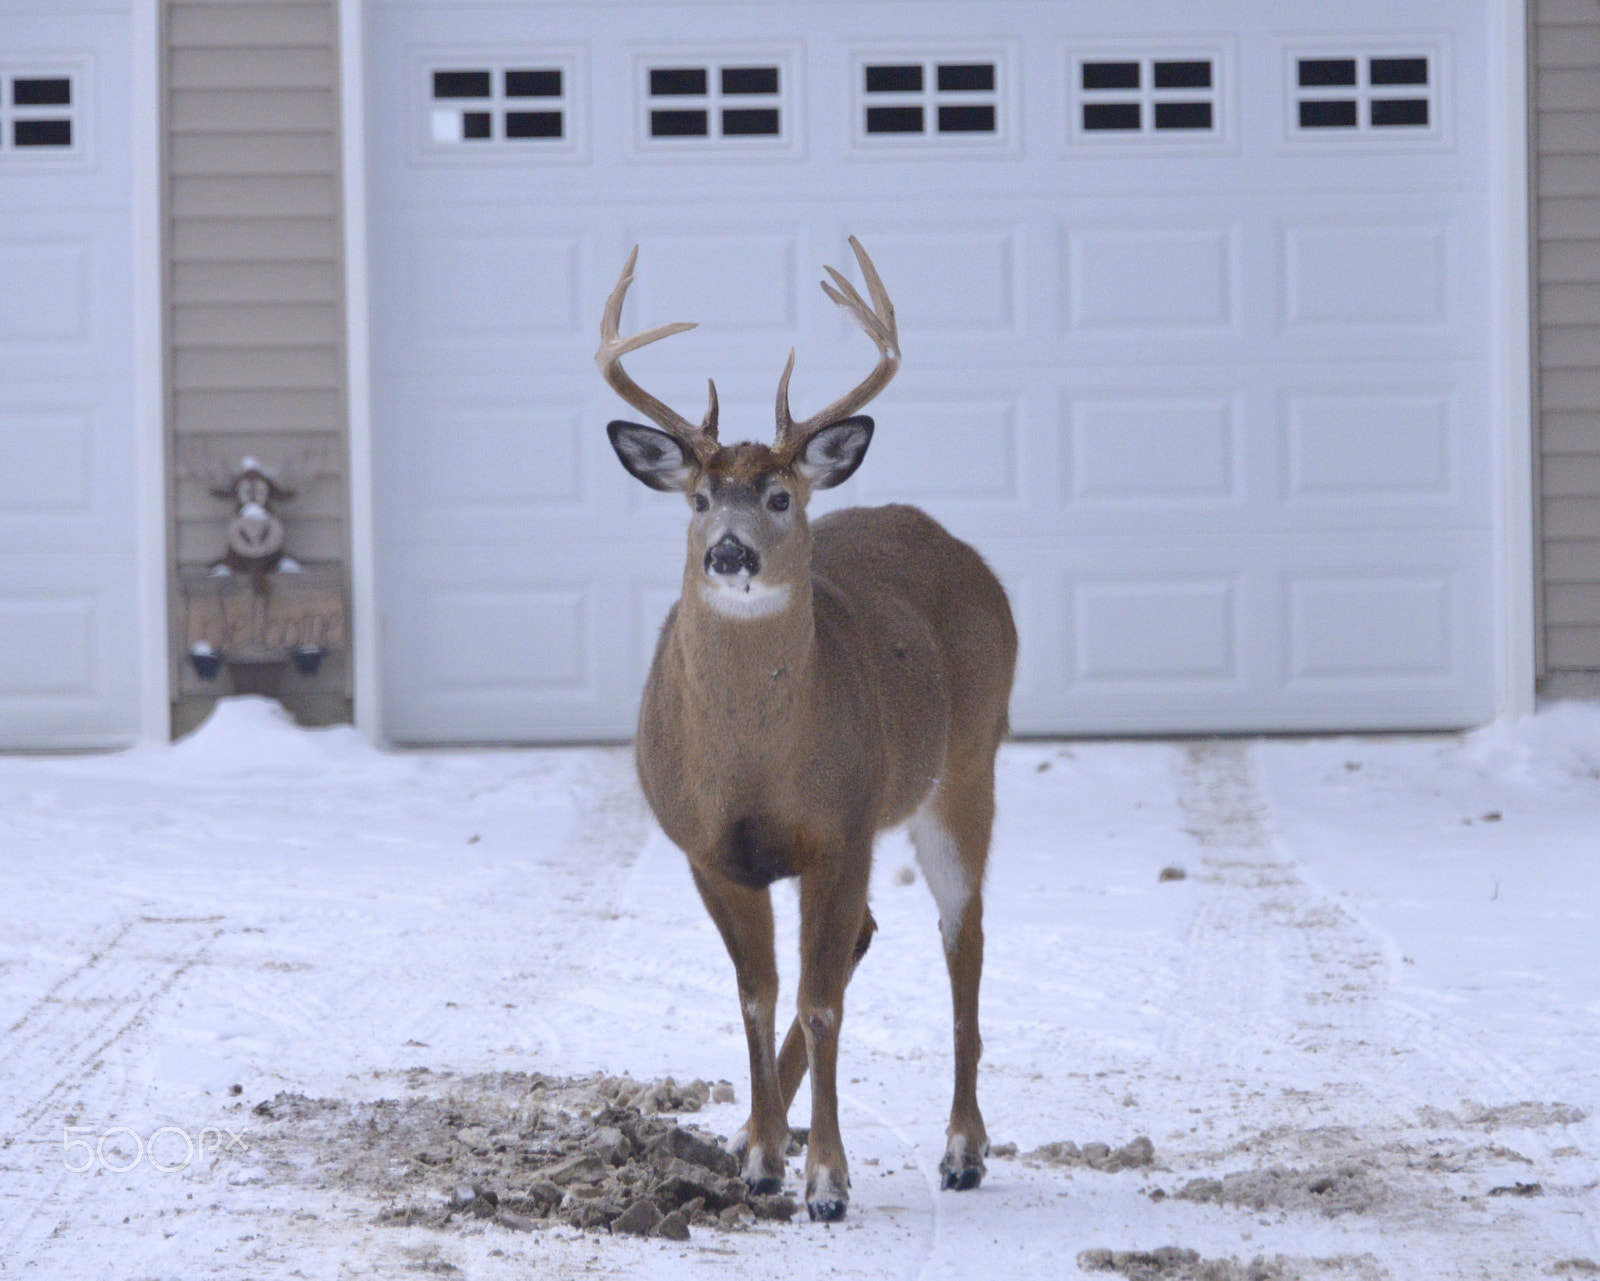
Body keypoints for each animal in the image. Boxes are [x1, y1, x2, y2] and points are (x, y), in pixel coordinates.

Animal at [597, 238, 1017, 1222]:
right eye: (700, 497)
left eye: (782, 496)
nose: (730, 551)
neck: (753, 767)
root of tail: (956, 548)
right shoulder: (709, 848)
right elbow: (758, 994)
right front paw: (760, 1159)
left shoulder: (841, 827)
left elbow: (822, 1001)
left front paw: (828, 1178)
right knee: (861, 939)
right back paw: (759, 1133)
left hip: (966, 765)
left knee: (963, 939)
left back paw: (963, 1148)